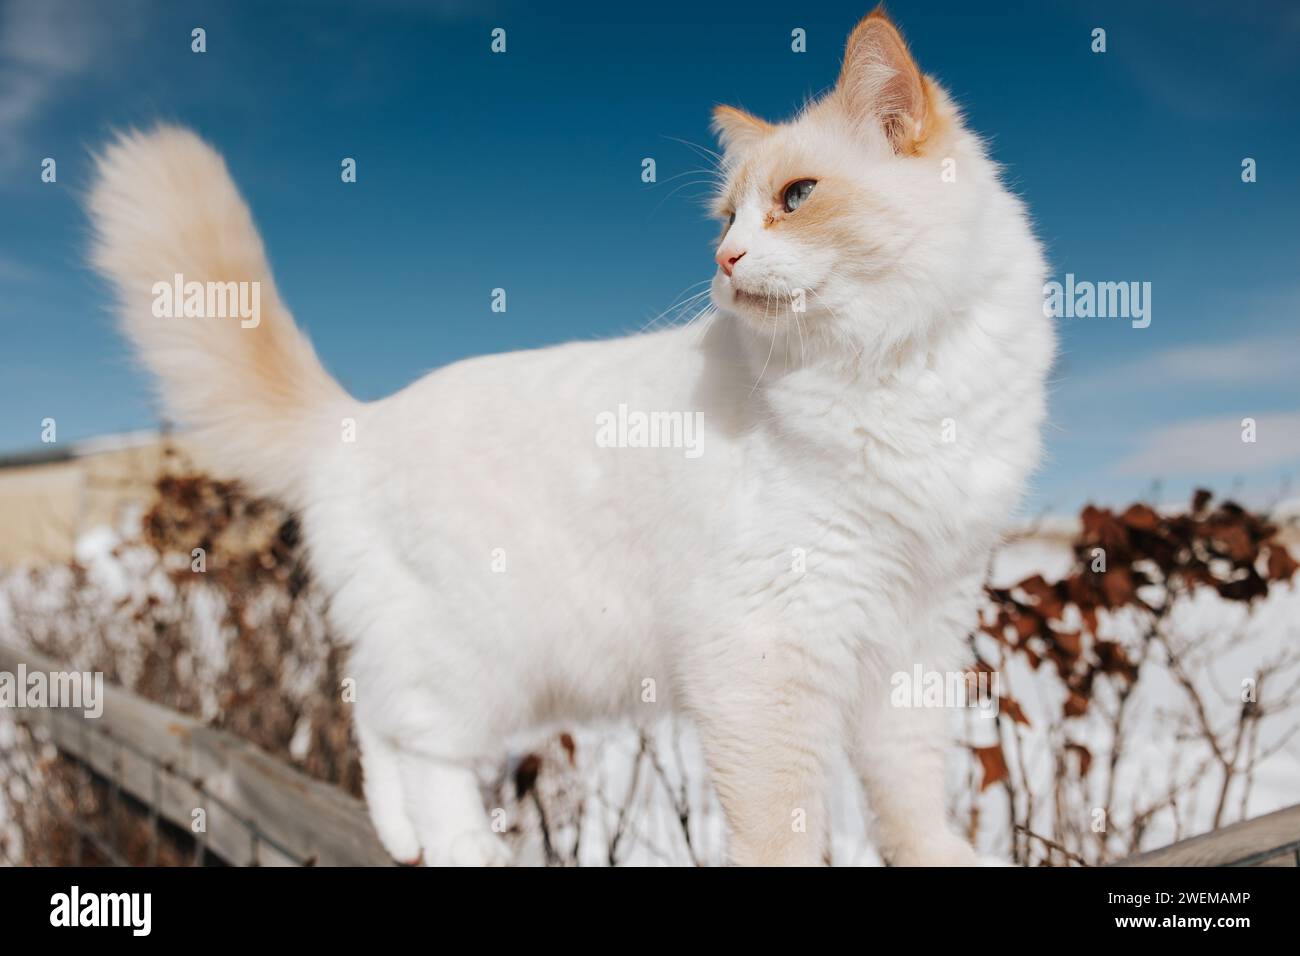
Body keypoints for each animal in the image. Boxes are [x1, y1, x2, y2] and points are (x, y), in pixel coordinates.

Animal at [83, 9, 1055, 868]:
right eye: (727, 220)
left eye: (796, 198)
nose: (726, 262)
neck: (894, 371)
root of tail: (355, 419)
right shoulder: (765, 648)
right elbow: (780, 826)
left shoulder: (917, 637)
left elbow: (909, 794)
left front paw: (942, 858)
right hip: (478, 654)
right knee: (418, 739)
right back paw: (459, 845)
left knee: (373, 717)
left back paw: (407, 839)